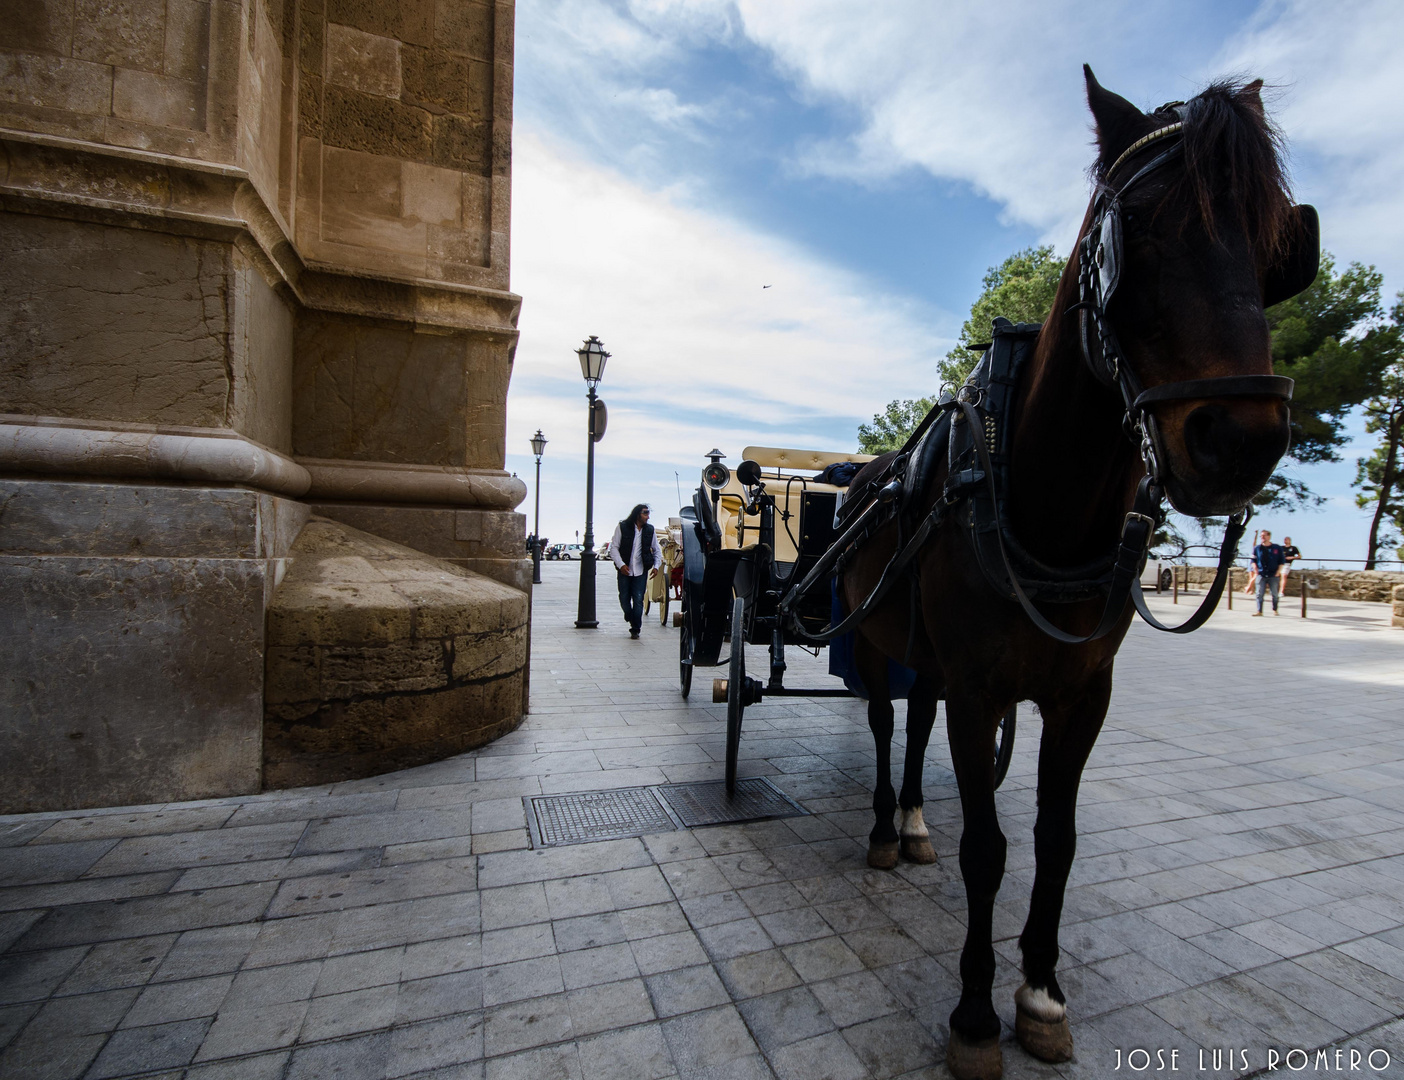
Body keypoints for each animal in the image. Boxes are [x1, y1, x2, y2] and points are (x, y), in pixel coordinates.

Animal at [836, 69, 1297, 1078]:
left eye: (1277, 242)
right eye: (1140, 228)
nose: (1240, 441)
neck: (1036, 494)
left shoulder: (1084, 694)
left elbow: (1056, 839)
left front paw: (1041, 990)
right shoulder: (978, 688)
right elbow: (988, 846)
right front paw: (975, 1012)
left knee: (915, 726)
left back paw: (914, 822)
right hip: (873, 638)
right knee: (889, 725)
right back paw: (888, 827)